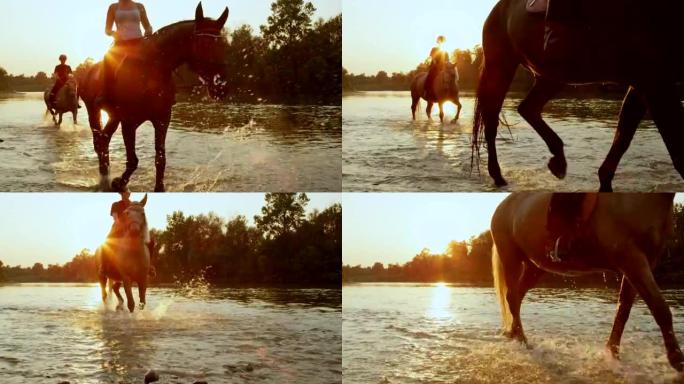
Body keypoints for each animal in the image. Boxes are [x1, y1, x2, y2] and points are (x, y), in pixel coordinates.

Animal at [79, 3, 230, 194]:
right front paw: (118, 183)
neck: (151, 70)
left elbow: (160, 158)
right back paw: (104, 179)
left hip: (113, 117)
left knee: (104, 141)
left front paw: (159, 187)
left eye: (224, 44)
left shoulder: (161, 119)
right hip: (94, 111)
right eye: (203, 44)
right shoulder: (129, 122)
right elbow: (133, 160)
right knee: (99, 143)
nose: (221, 86)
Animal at [472, 0, 684, 192]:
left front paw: (605, 184)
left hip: (552, 76)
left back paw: (558, 160)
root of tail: (496, 10)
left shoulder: (643, 83)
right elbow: (677, 152)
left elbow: (623, 136)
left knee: (527, 108)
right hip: (501, 66)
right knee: (492, 123)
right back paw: (498, 176)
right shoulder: (654, 82)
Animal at [488, 195, 680, 372]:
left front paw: (612, 353)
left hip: (534, 266)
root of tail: (501, 206)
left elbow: (623, 311)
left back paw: (514, 334)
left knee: (517, 296)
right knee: (512, 297)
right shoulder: (632, 259)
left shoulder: (640, 264)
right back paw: (521, 339)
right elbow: (660, 309)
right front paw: (677, 359)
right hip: (511, 257)